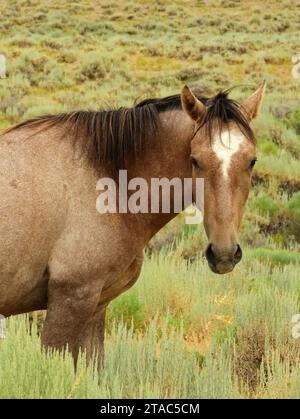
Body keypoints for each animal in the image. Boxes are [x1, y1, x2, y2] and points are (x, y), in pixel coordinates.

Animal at [0, 82, 266, 364]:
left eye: (252, 161)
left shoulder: (96, 307)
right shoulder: (69, 302)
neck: (108, 183)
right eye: (195, 160)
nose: (224, 253)